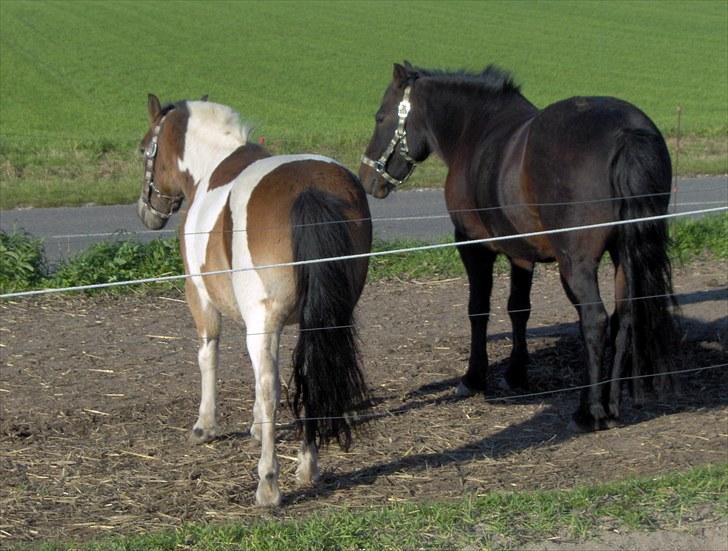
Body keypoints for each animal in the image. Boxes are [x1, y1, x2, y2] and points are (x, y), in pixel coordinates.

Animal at [137, 94, 372, 506]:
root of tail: (310, 189)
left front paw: (205, 425)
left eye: (143, 149)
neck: (212, 166)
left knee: (270, 388)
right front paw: (257, 427)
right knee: (310, 378)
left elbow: (208, 355)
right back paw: (307, 466)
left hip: (263, 324)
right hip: (327, 316)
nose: (146, 212)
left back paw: (268, 483)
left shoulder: (200, 296)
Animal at [359, 63, 676, 432]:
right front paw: (516, 372)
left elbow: (478, 309)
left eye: (380, 117)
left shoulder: (472, 244)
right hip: (624, 256)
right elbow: (518, 308)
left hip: (577, 264)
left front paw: (474, 377)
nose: (367, 178)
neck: (476, 130)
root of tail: (625, 134)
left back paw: (589, 411)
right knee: (623, 318)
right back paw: (611, 405)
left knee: (595, 320)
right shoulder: (521, 253)